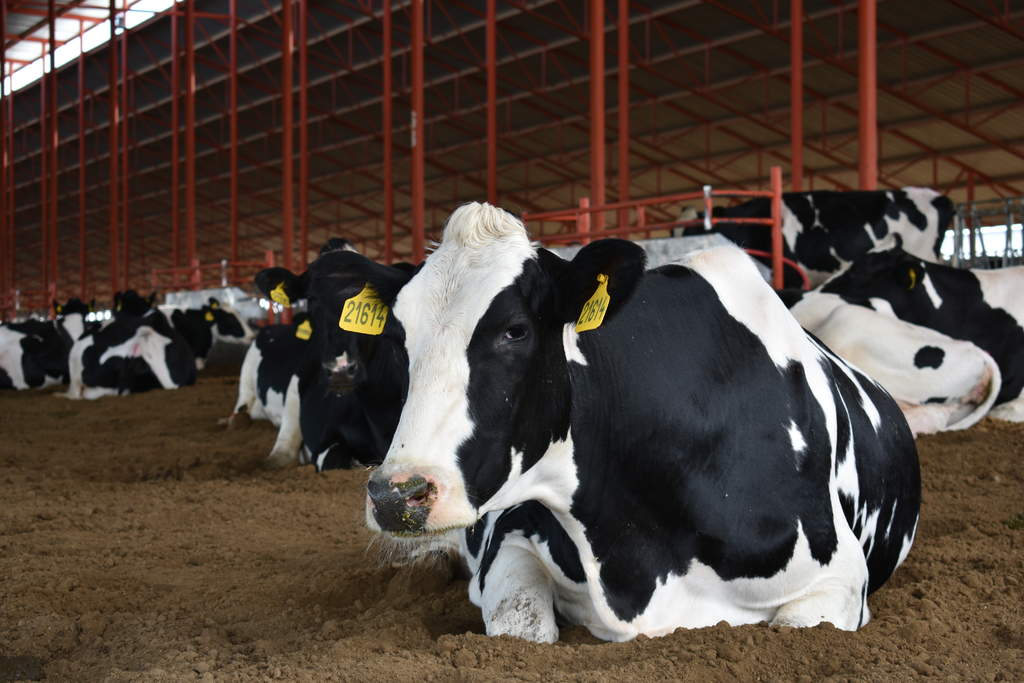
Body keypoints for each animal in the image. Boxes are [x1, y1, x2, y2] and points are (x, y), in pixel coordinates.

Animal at [356, 202, 925, 643]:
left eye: (515, 330)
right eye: (398, 335)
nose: (396, 494)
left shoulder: (839, 577)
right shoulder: (508, 541)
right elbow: (523, 627)